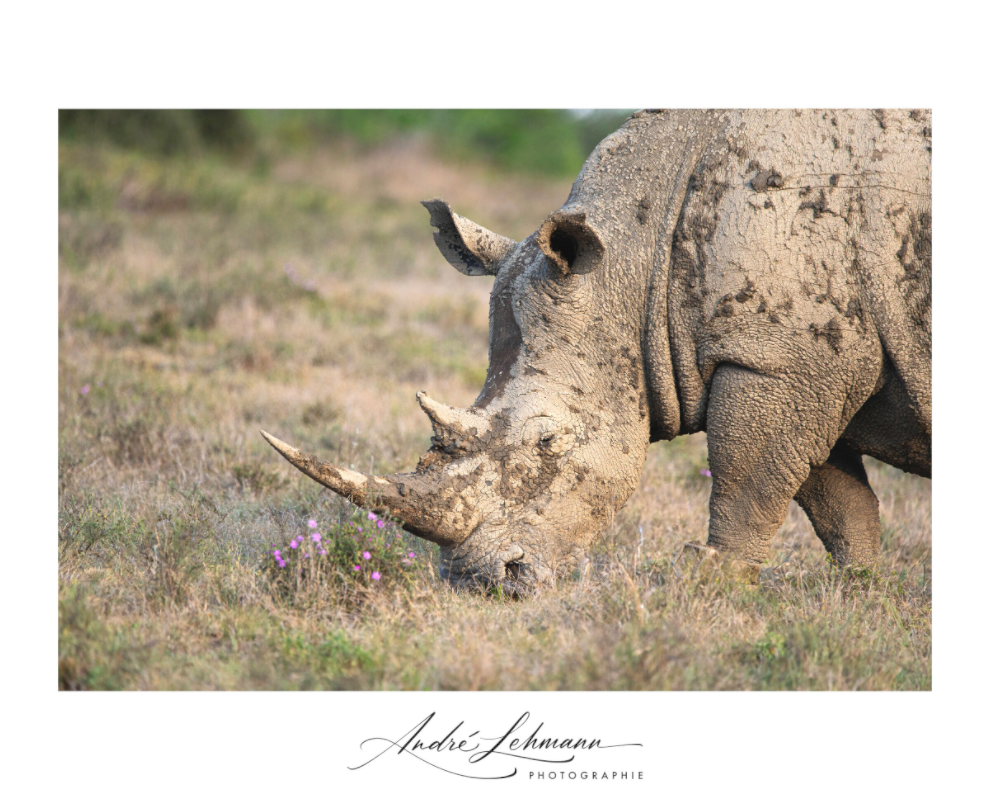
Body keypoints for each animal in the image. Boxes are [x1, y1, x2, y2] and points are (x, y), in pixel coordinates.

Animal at [262, 109, 931, 590]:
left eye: (548, 442)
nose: (485, 582)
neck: (638, 263)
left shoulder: (778, 359)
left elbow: (748, 474)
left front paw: (714, 582)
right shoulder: (805, 361)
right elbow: (834, 496)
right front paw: (862, 591)